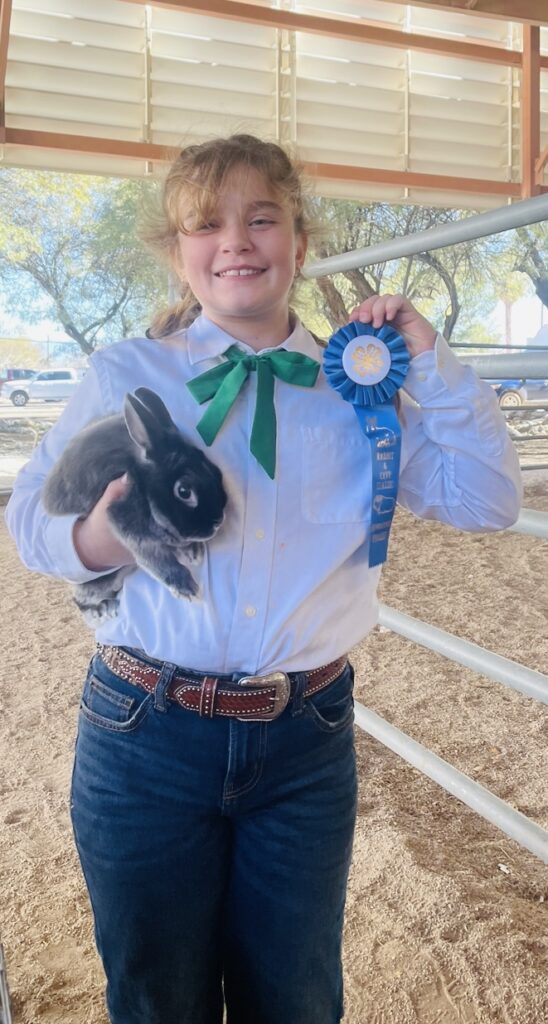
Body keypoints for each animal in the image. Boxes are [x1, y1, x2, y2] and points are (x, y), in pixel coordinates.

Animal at [41, 385, 227, 618]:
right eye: (184, 491)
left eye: (216, 471)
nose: (218, 521)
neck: (141, 475)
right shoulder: (125, 522)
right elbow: (155, 559)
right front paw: (186, 587)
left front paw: (193, 551)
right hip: (97, 581)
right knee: (81, 599)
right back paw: (101, 609)